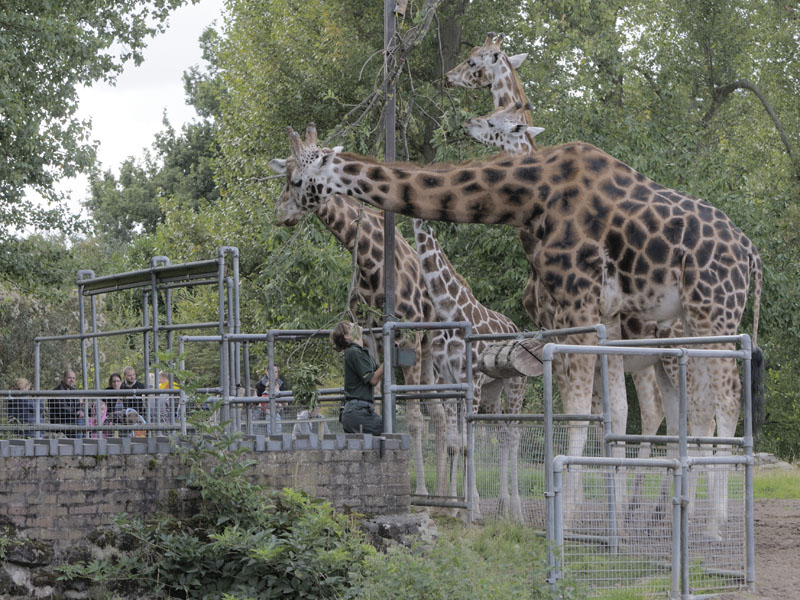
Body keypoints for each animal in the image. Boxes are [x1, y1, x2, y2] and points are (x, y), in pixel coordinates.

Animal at [268, 127, 448, 500]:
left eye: (296, 180)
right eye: (283, 175)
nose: (279, 214)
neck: (368, 264)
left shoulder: (406, 336)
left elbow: (413, 418)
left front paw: (421, 493)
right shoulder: (371, 334)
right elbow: (379, 402)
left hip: (432, 342)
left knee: (443, 413)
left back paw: (445, 494)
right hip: (424, 350)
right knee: (438, 412)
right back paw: (446, 494)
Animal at [413, 217, 528, 521]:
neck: (451, 312)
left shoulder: (471, 380)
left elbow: (469, 444)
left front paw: (472, 508)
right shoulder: (449, 381)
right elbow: (455, 444)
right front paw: (454, 507)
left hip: (515, 386)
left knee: (514, 435)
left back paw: (517, 512)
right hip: (492, 391)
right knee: (502, 434)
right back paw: (501, 507)